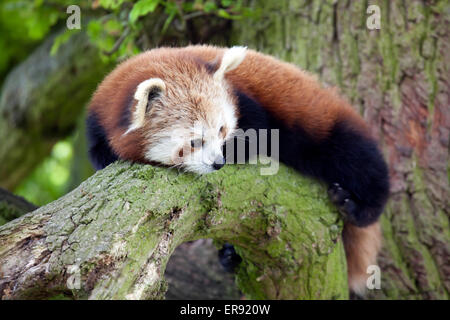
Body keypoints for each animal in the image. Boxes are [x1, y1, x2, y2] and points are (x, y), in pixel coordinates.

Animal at [88, 46, 390, 296]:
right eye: (194, 142)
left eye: (222, 129)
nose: (218, 163)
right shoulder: (98, 118)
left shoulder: (245, 98)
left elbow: (260, 133)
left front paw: (235, 149)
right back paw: (230, 256)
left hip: (324, 123)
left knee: (360, 160)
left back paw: (357, 207)